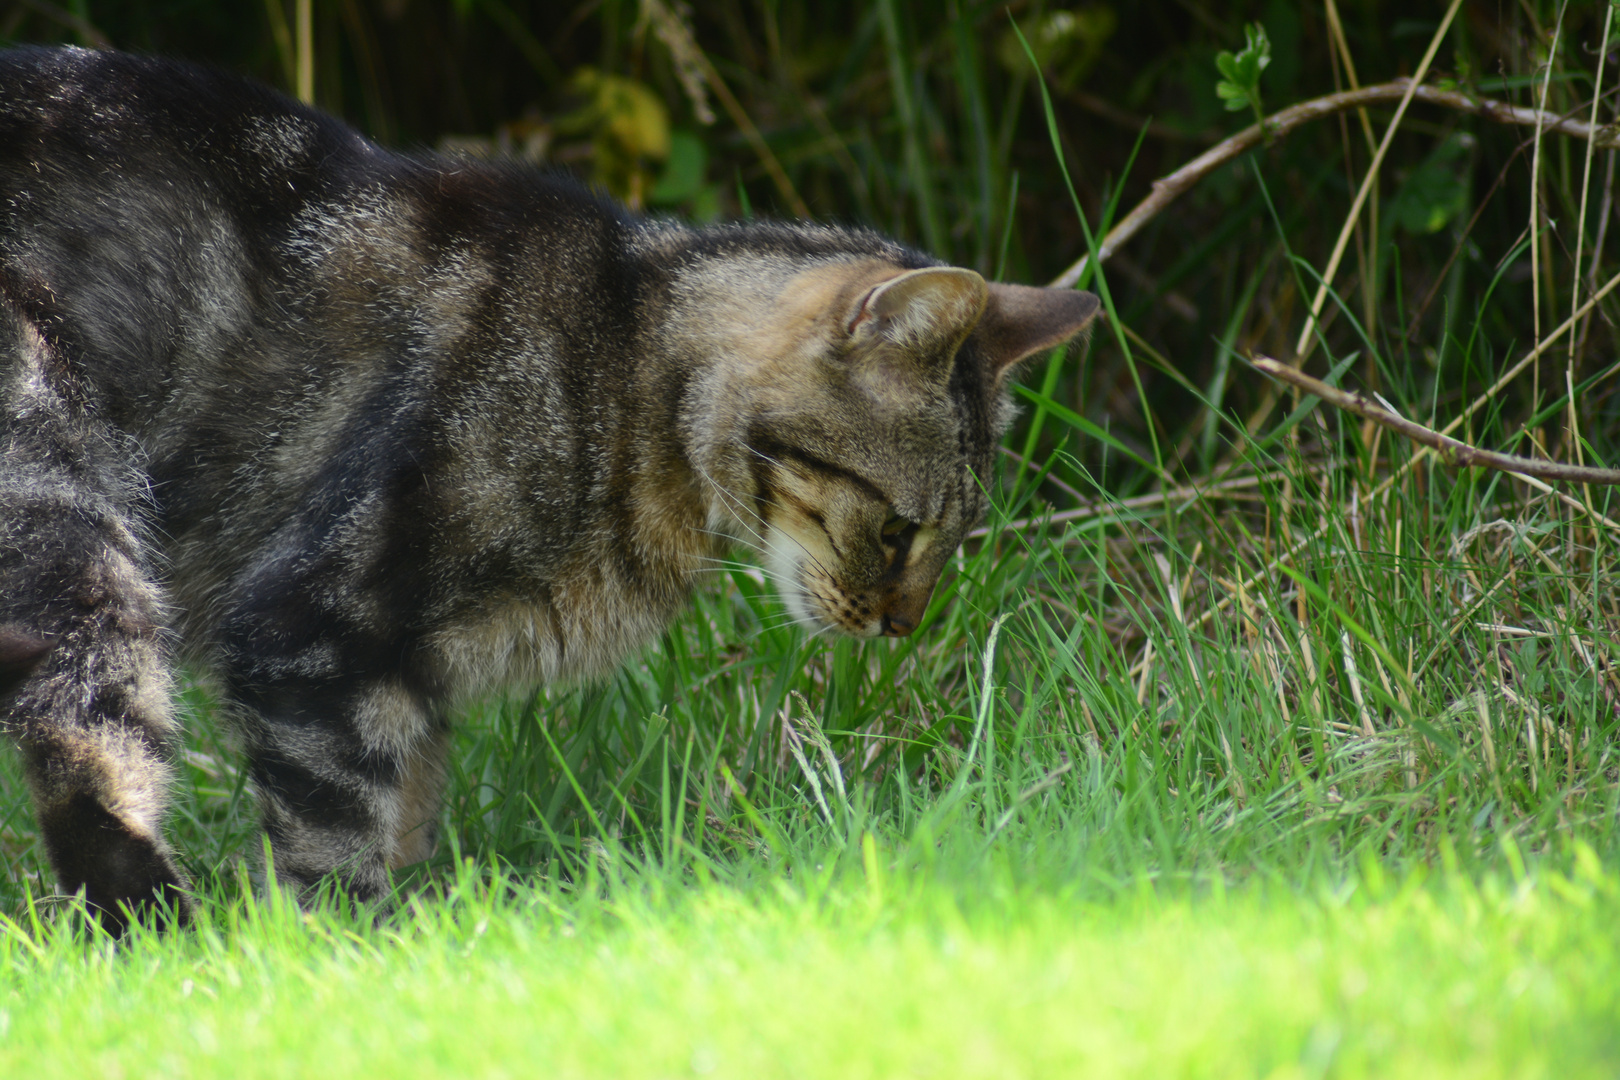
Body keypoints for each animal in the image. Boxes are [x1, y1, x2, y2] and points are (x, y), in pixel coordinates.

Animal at [0, 46, 1101, 932]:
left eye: (956, 542)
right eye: (898, 531)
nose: (902, 625)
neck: (634, 363)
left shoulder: (401, 686)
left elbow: (406, 817)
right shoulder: (311, 630)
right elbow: (335, 840)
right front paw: (347, 962)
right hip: (72, 498)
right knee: (91, 739)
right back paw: (157, 928)